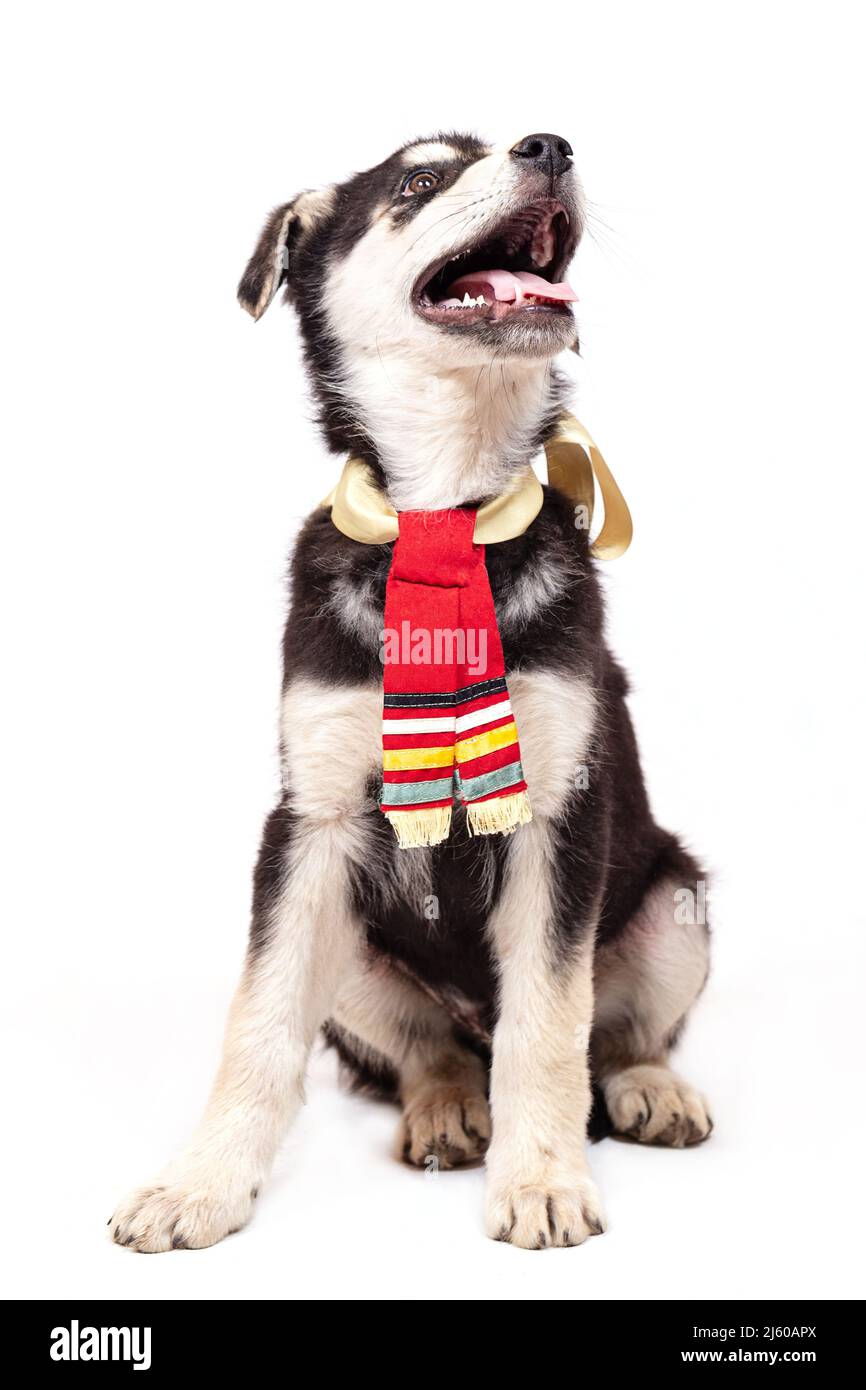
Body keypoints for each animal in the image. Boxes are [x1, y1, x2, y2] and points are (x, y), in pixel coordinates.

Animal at [109, 130, 711, 1256]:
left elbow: (548, 1022)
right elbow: (258, 1022)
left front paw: (543, 1179)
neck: (445, 502)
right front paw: (199, 1183)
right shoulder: (310, 827)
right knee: (425, 1051)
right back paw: (443, 1107)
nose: (551, 145)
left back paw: (647, 1087)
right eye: (420, 181)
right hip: (354, 942)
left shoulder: (559, 816)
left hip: (675, 905)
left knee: (613, 1038)